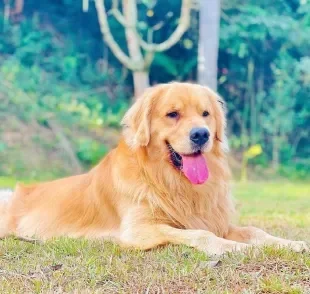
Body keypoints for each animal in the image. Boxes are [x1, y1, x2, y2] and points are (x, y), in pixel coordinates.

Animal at [0, 82, 308, 255]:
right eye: (173, 114)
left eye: (205, 114)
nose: (202, 134)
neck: (169, 180)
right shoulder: (139, 229)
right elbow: (200, 234)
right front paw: (233, 247)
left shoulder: (214, 219)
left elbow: (256, 231)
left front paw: (290, 244)